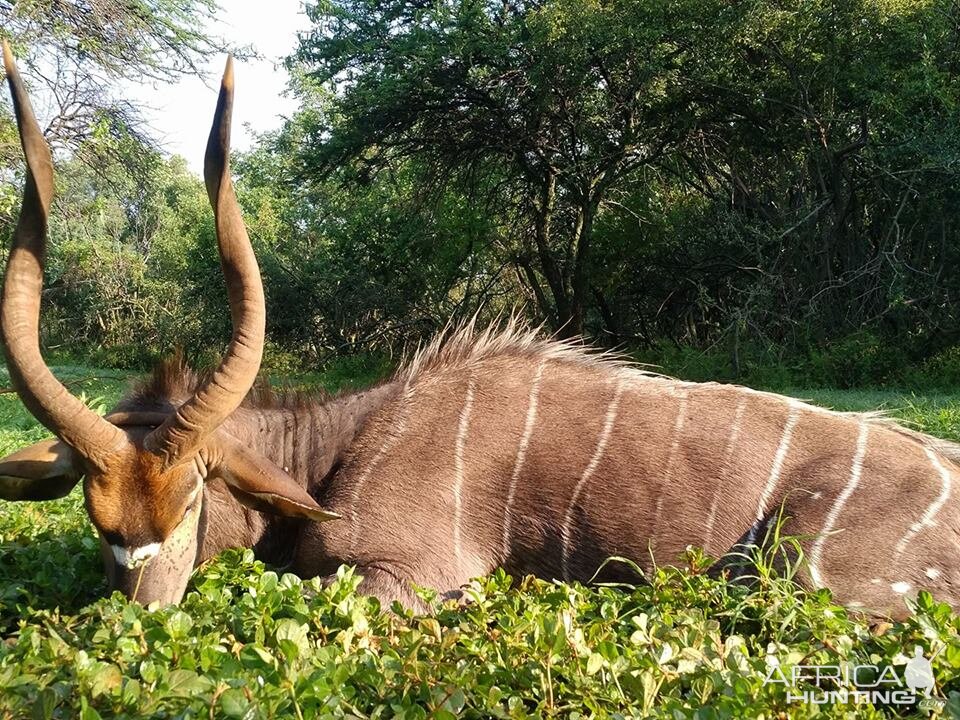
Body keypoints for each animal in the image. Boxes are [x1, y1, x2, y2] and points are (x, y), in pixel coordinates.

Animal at [1, 46, 960, 620]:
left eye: (195, 499)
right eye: (95, 516)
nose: (141, 615)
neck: (340, 446)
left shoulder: (402, 575)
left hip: (806, 581)